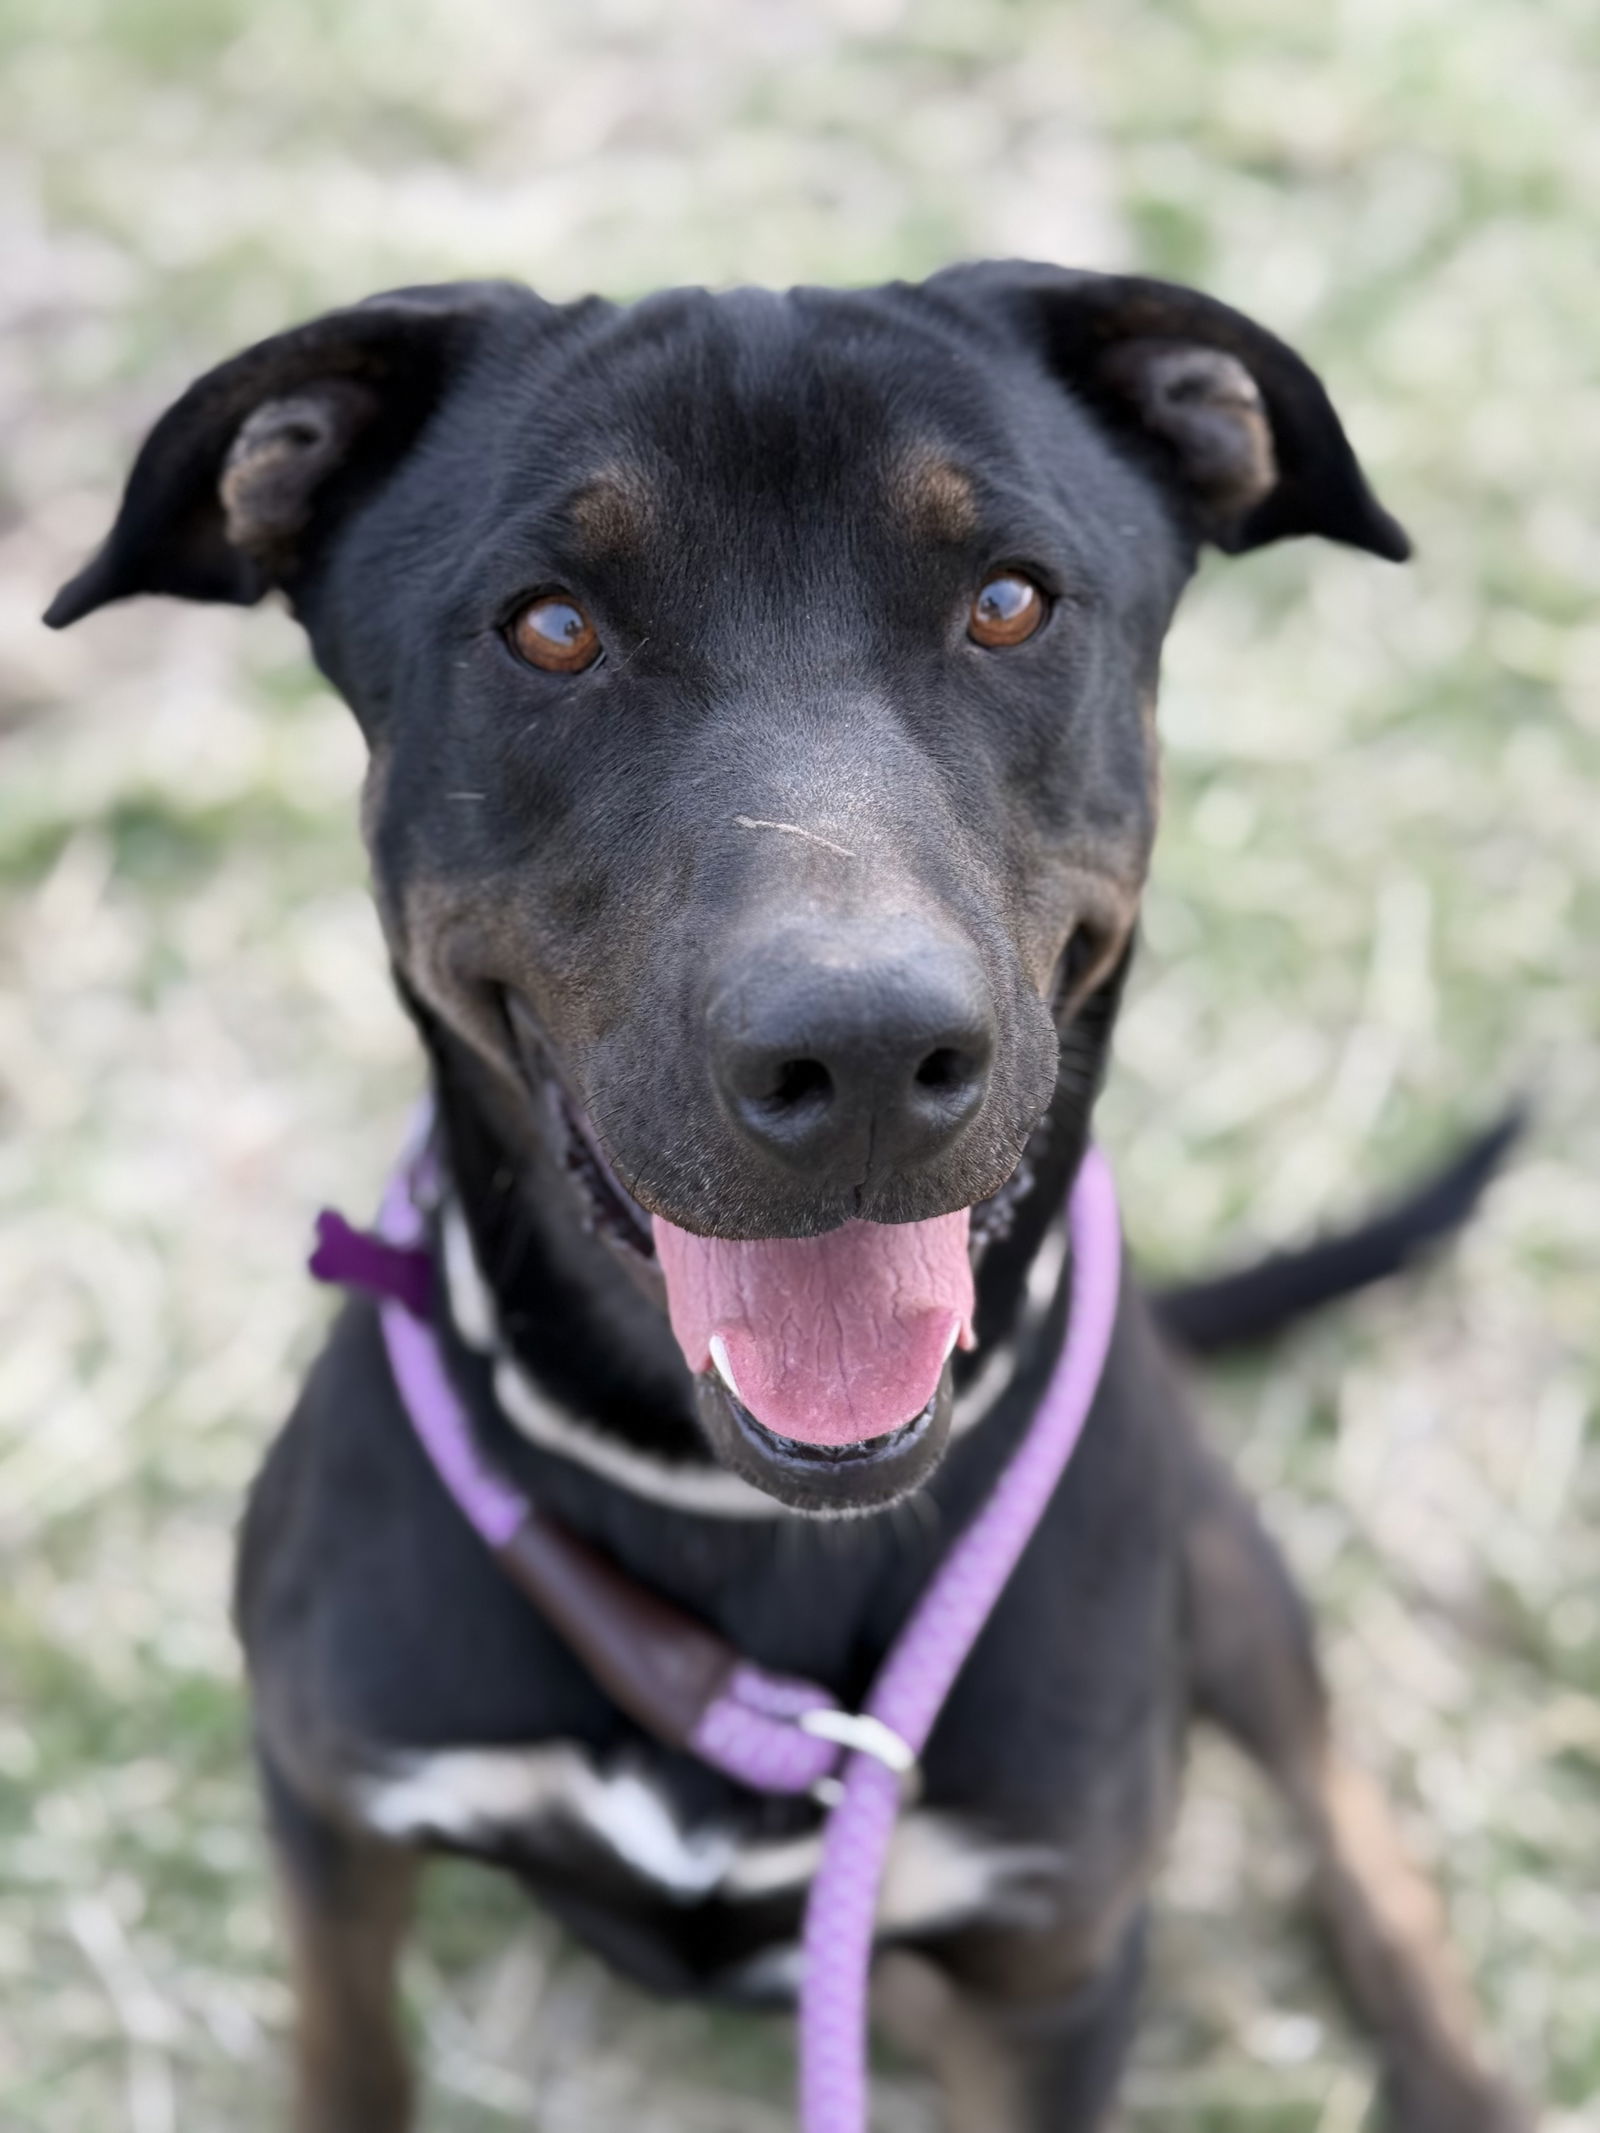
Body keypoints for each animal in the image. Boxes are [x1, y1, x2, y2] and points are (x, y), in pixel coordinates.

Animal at [46, 270, 1527, 2133]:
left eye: (1008, 600)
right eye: (550, 628)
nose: (869, 1052)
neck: (728, 1512)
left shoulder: (1055, 1967)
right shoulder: (331, 1817)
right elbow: (348, 2058)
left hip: (1221, 1563)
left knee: (1350, 1819)